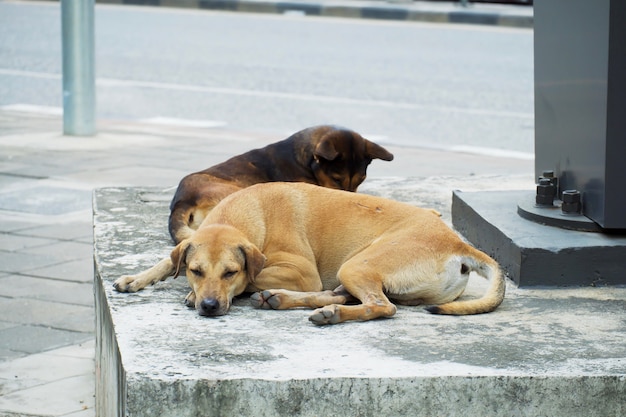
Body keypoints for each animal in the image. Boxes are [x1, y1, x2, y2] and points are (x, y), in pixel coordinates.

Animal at [114, 183, 504, 324]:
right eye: (196, 269)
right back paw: (294, 300)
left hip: (356, 264)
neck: (247, 212)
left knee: (381, 306)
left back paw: (328, 311)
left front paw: (192, 295)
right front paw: (138, 278)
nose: (209, 306)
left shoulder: (301, 272)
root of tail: (458, 243)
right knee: (352, 296)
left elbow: (253, 277)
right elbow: (168, 258)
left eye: (230, 272)